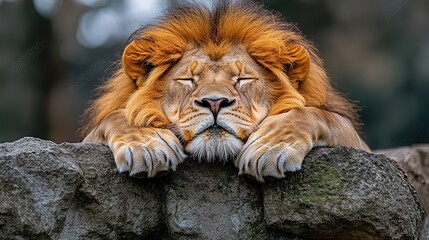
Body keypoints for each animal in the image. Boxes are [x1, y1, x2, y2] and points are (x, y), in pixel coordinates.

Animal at [82, 0, 370, 180]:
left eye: (242, 79)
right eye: (188, 80)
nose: (214, 102)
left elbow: (314, 113)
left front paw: (270, 146)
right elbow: (117, 116)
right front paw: (146, 144)